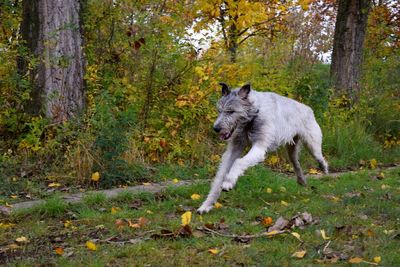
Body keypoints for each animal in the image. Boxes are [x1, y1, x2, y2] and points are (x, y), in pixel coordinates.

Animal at [197, 82, 328, 215]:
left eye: (231, 111)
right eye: (219, 110)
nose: (216, 128)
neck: (253, 115)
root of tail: (308, 108)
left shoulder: (259, 148)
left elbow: (239, 162)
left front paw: (228, 182)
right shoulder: (234, 149)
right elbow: (220, 176)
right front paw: (206, 205)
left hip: (312, 145)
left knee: (319, 156)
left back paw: (324, 167)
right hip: (291, 151)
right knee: (296, 163)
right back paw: (301, 180)